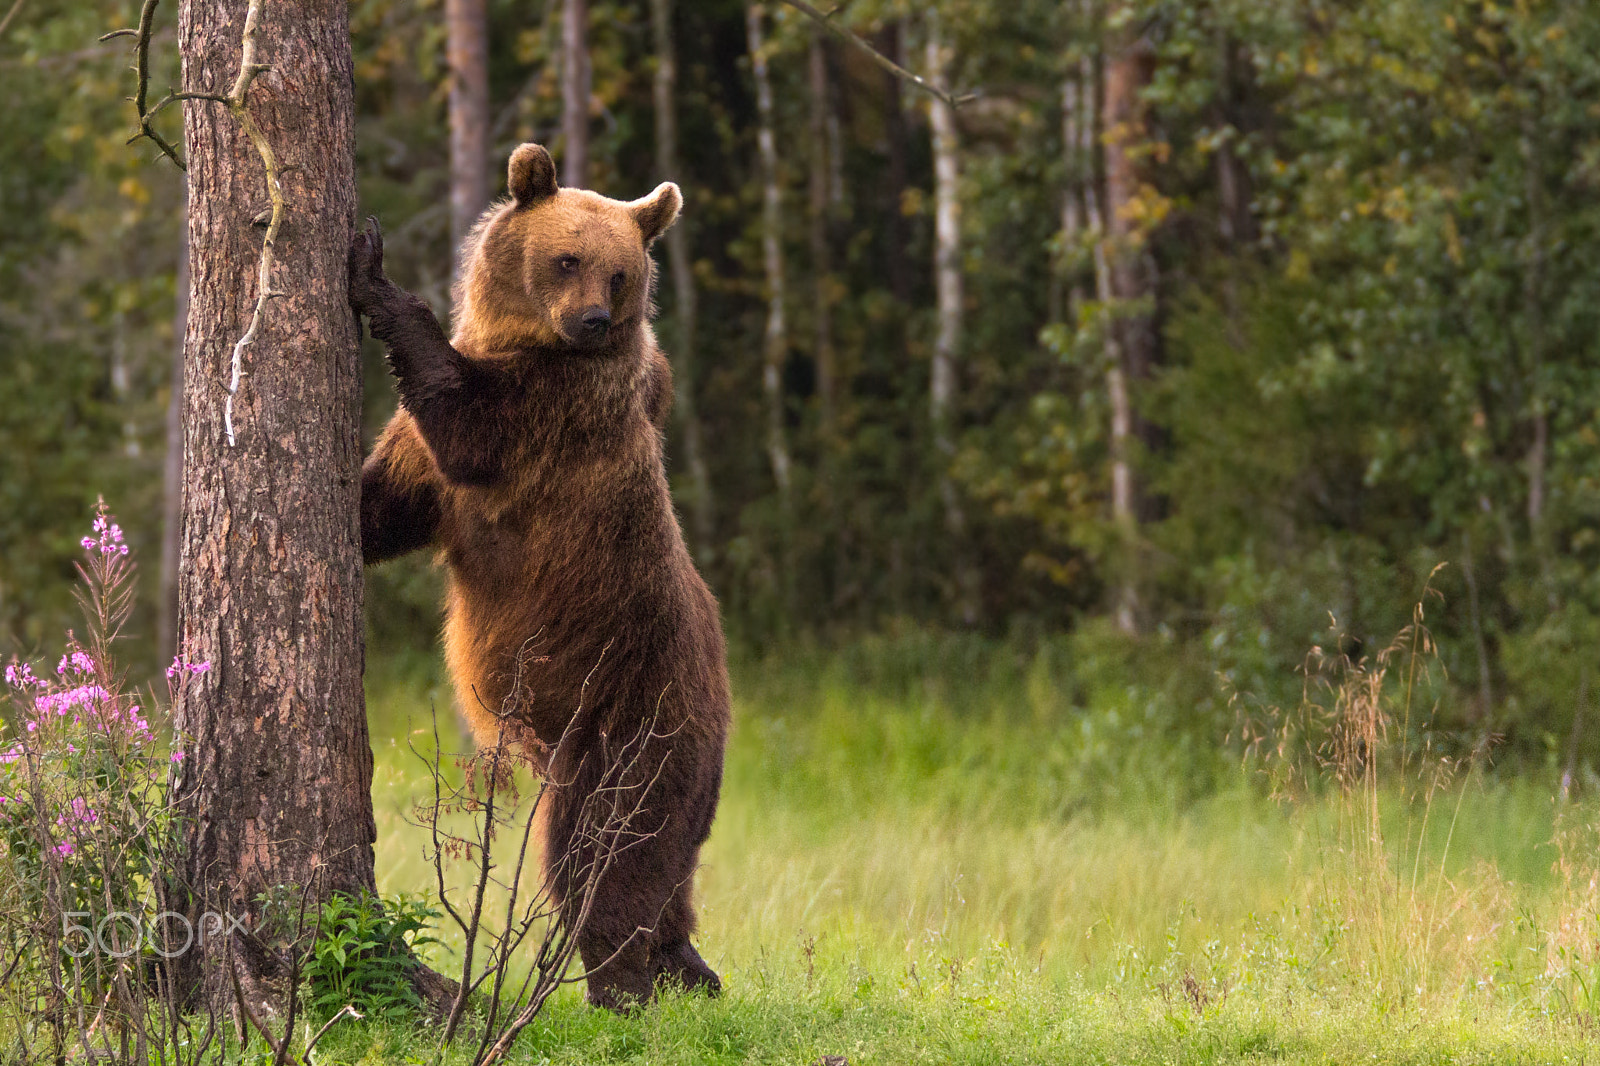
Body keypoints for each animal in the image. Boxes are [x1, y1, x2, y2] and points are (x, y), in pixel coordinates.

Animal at [348, 142, 728, 1010]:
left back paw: (620, 984)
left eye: (618, 273)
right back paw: (688, 967)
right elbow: (387, 507)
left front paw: (374, 271)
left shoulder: (549, 417)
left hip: (633, 721)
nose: (591, 321)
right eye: (566, 258)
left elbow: (464, 419)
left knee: (610, 852)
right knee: (668, 870)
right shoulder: (431, 476)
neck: (526, 341)